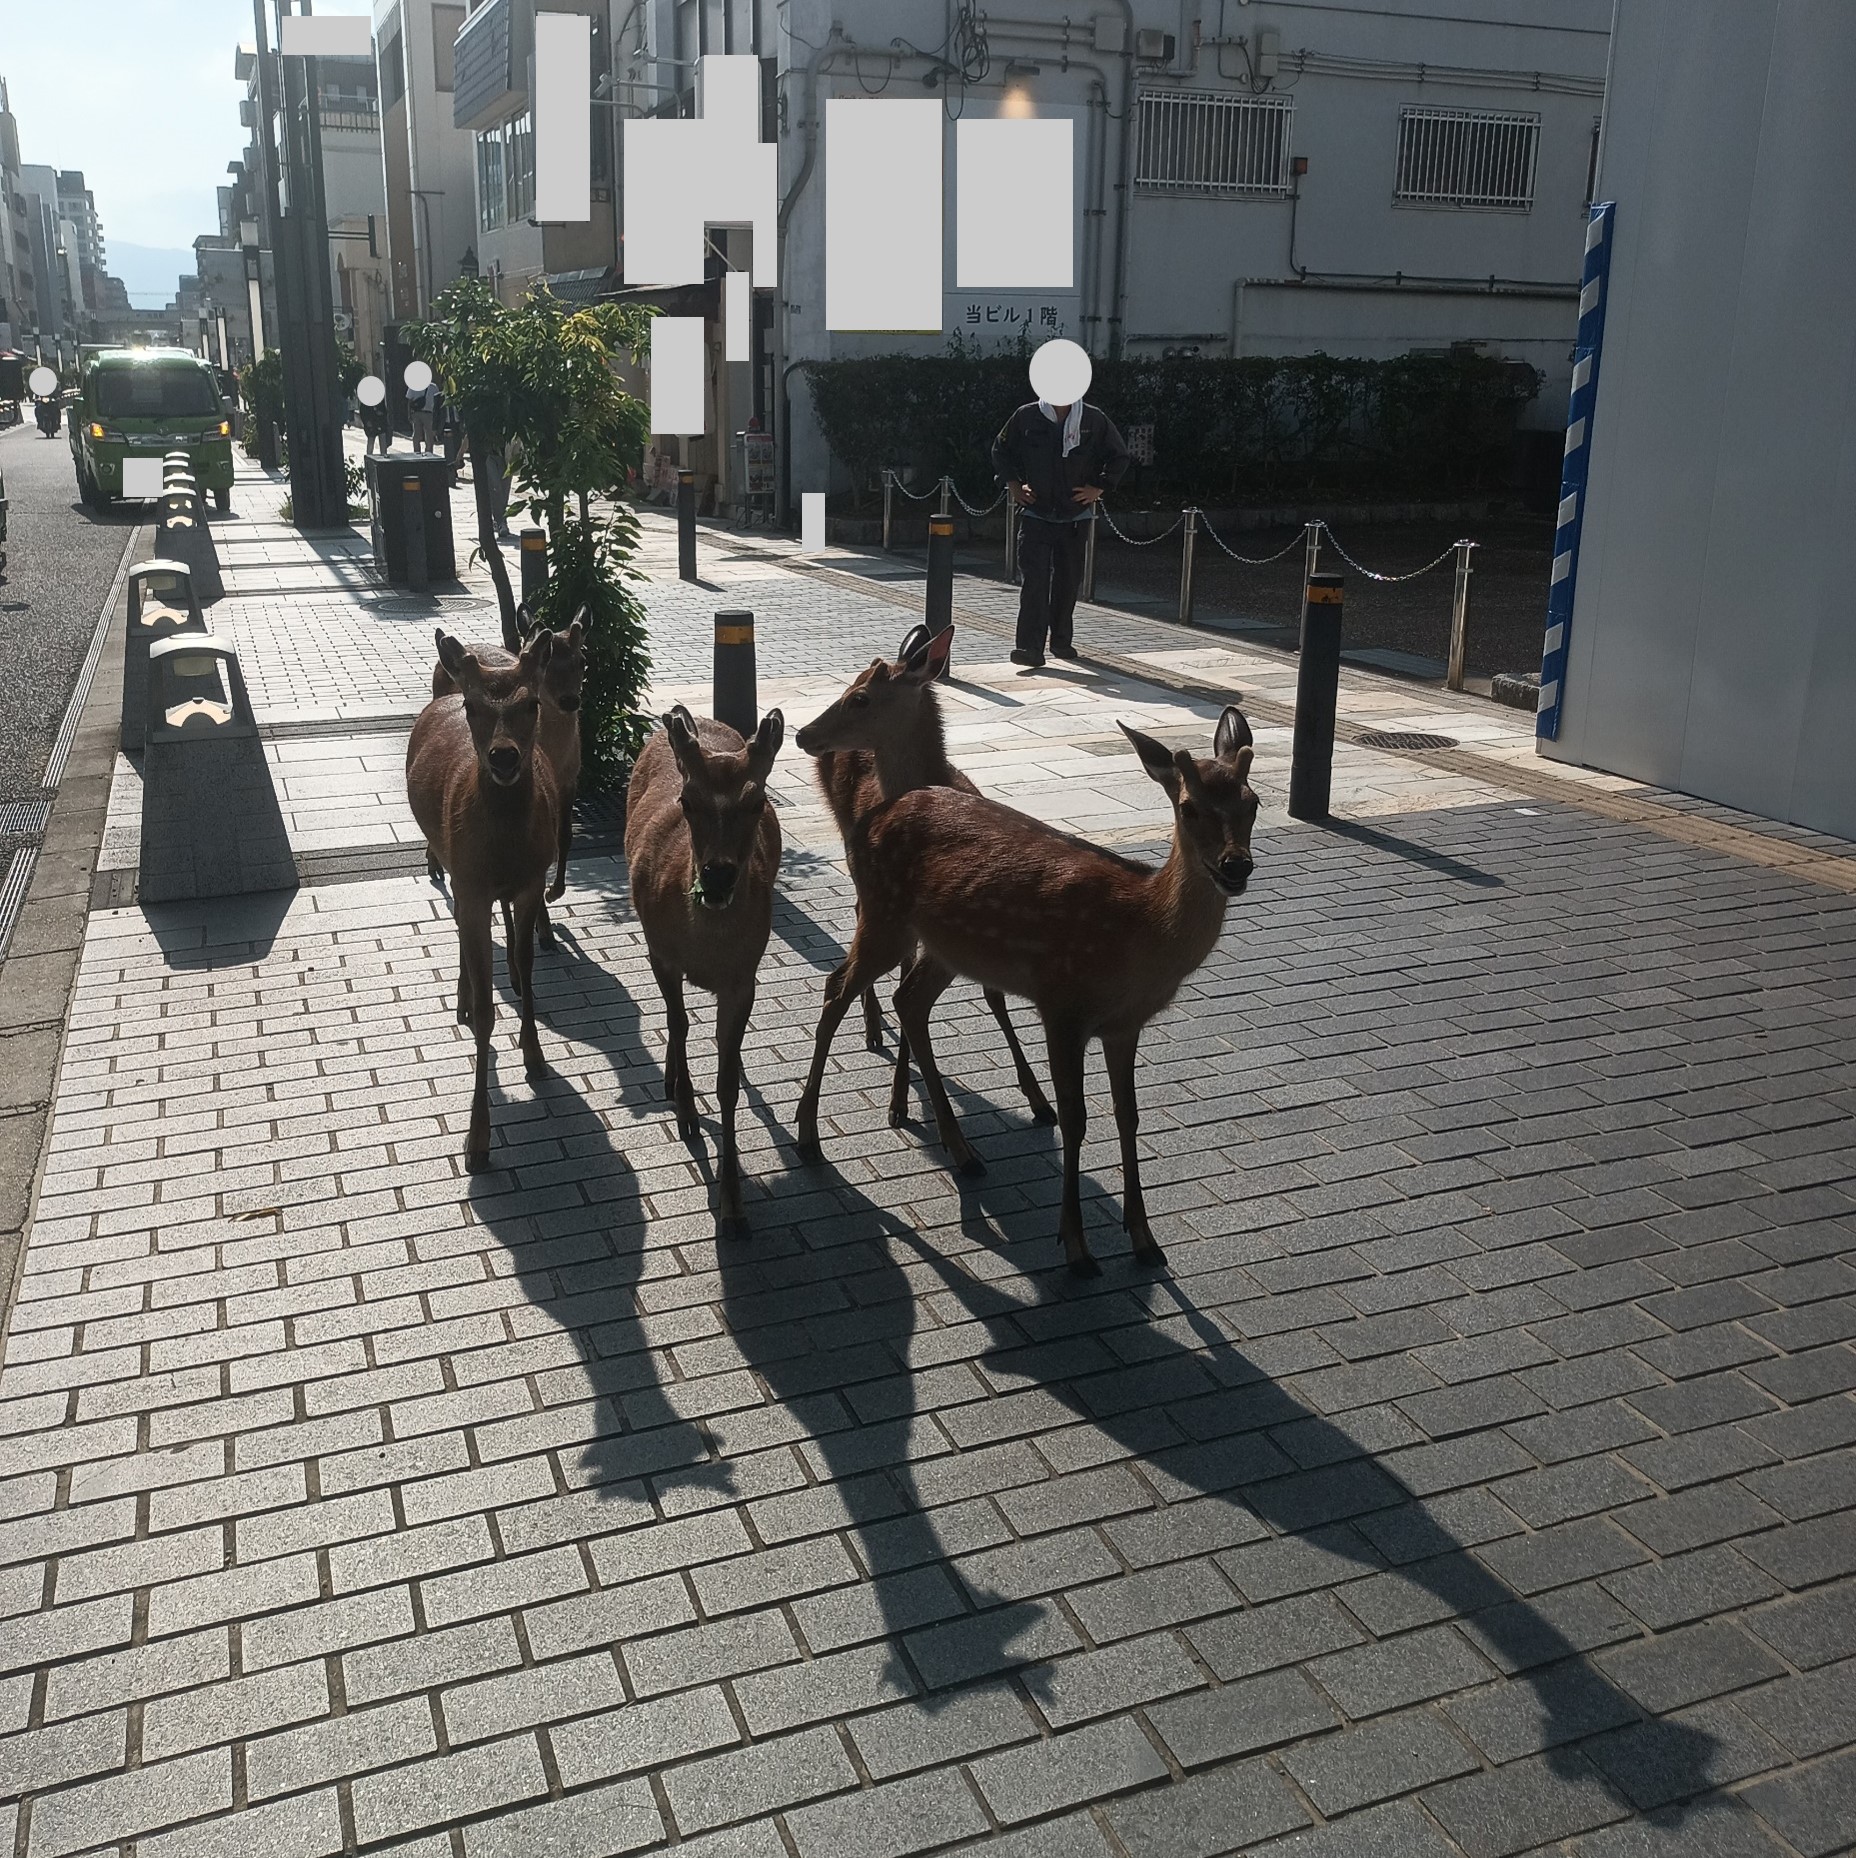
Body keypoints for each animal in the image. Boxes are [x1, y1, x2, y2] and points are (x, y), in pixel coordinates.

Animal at [403, 631, 553, 1166]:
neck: (504, 855)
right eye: (474, 706)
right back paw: (463, 1001)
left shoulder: (531, 883)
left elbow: (526, 970)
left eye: (533, 702)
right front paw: (477, 1140)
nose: (503, 757)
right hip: (453, 865)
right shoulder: (472, 885)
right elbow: (490, 1011)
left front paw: (535, 1056)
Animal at [431, 609, 583, 951]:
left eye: (583, 660)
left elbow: (565, 836)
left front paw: (555, 894)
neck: (557, 754)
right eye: (549, 668)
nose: (570, 701)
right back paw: (433, 866)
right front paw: (545, 928)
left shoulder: (569, 780)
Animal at [627, 698, 787, 1233]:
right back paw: (671, 1082)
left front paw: (733, 1208)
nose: (717, 878)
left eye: (757, 802)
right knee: (674, 1022)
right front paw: (685, 1112)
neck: (706, 949)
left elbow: (728, 1085)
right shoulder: (661, 953)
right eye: (688, 801)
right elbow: (678, 1023)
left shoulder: (744, 978)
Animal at [798, 624, 1055, 1122]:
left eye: (860, 697)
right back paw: (873, 1027)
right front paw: (899, 1099)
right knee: (861, 924)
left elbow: (992, 994)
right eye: (849, 686)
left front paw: (1038, 1097)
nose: (802, 733)